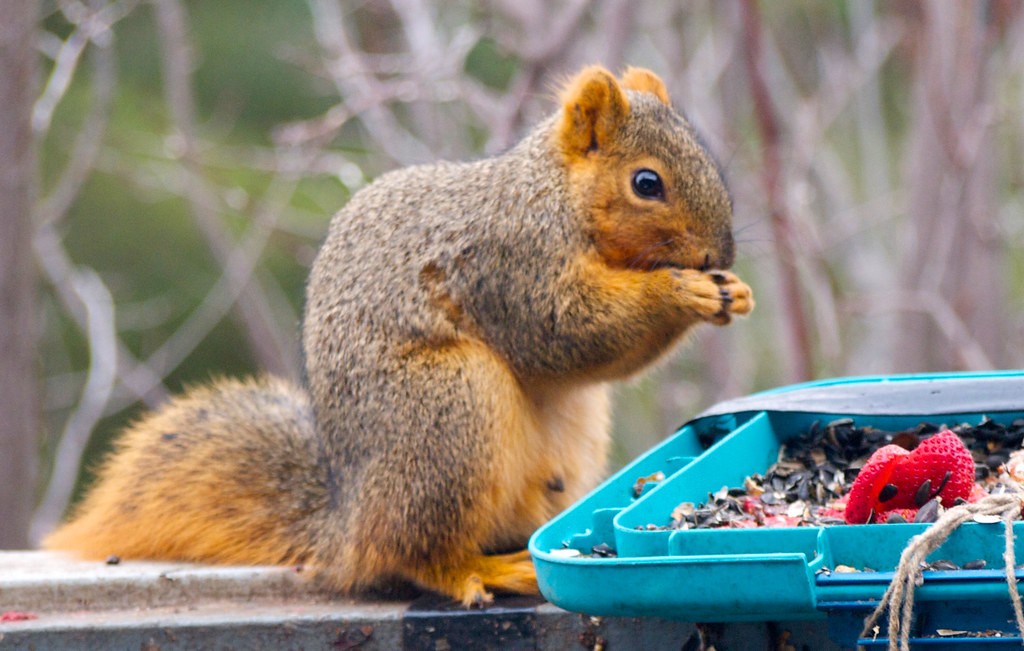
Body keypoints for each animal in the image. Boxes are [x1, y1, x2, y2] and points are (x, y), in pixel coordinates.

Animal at [44, 64, 753, 605]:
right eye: (646, 183)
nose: (719, 253)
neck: (553, 195)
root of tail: (347, 525)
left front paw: (733, 291)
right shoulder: (509, 264)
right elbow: (565, 329)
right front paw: (680, 292)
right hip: (447, 412)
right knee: (415, 554)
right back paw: (485, 571)